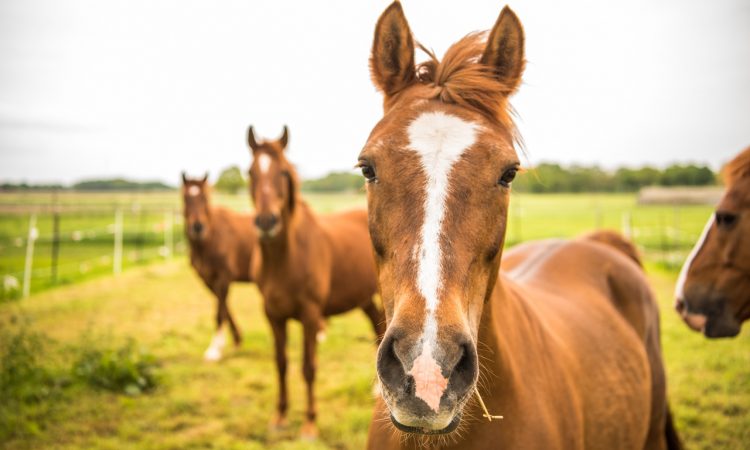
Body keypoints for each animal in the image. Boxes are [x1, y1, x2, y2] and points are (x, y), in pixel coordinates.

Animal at [181, 174, 258, 360]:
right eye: (185, 197)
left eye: (204, 198)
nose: (198, 227)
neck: (211, 238)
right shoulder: (208, 279)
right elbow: (224, 308)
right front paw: (237, 340)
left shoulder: (224, 277)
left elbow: (219, 312)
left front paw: (214, 349)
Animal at [248, 125, 388, 438]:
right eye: (250, 172)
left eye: (283, 173)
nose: (266, 222)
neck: (284, 259)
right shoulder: (273, 315)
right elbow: (281, 364)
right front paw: (279, 417)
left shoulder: (311, 316)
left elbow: (308, 367)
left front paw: (310, 423)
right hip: (363, 299)